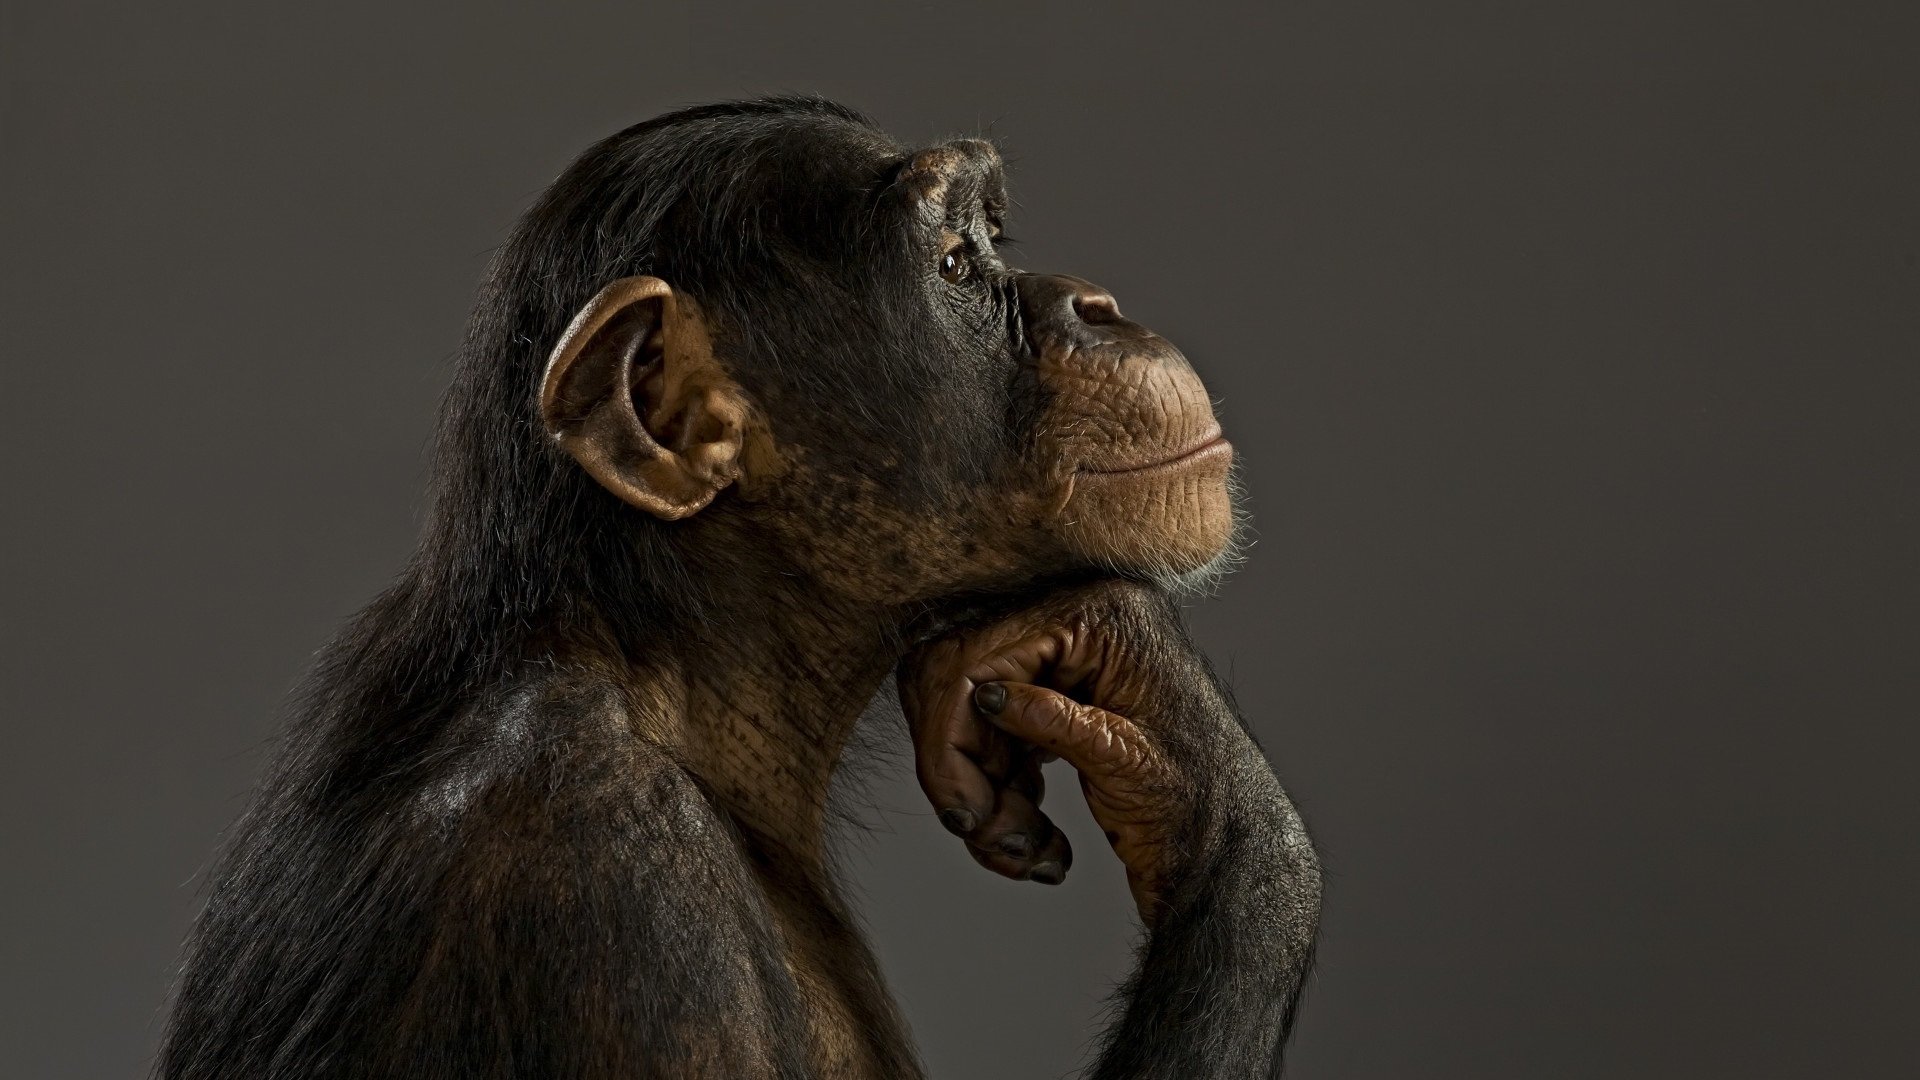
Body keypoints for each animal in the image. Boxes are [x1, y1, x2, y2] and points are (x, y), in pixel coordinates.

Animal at [157, 95, 1320, 1079]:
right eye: (954, 264)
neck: (664, 670)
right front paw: (1203, 768)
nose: (1098, 304)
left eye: (994, 240)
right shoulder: (610, 891)